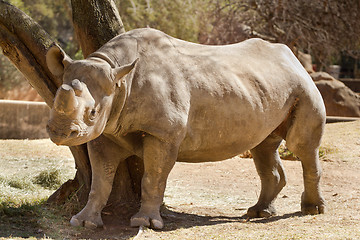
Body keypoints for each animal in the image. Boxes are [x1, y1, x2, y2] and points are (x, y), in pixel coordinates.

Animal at [45, 27, 326, 229]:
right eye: (54, 97)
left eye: (92, 113)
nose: (59, 133)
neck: (119, 79)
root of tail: (295, 60)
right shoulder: (106, 131)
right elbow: (101, 180)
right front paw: (83, 222)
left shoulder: (163, 133)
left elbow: (153, 177)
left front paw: (145, 223)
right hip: (268, 88)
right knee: (263, 146)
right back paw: (259, 212)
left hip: (303, 87)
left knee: (301, 146)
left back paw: (311, 210)